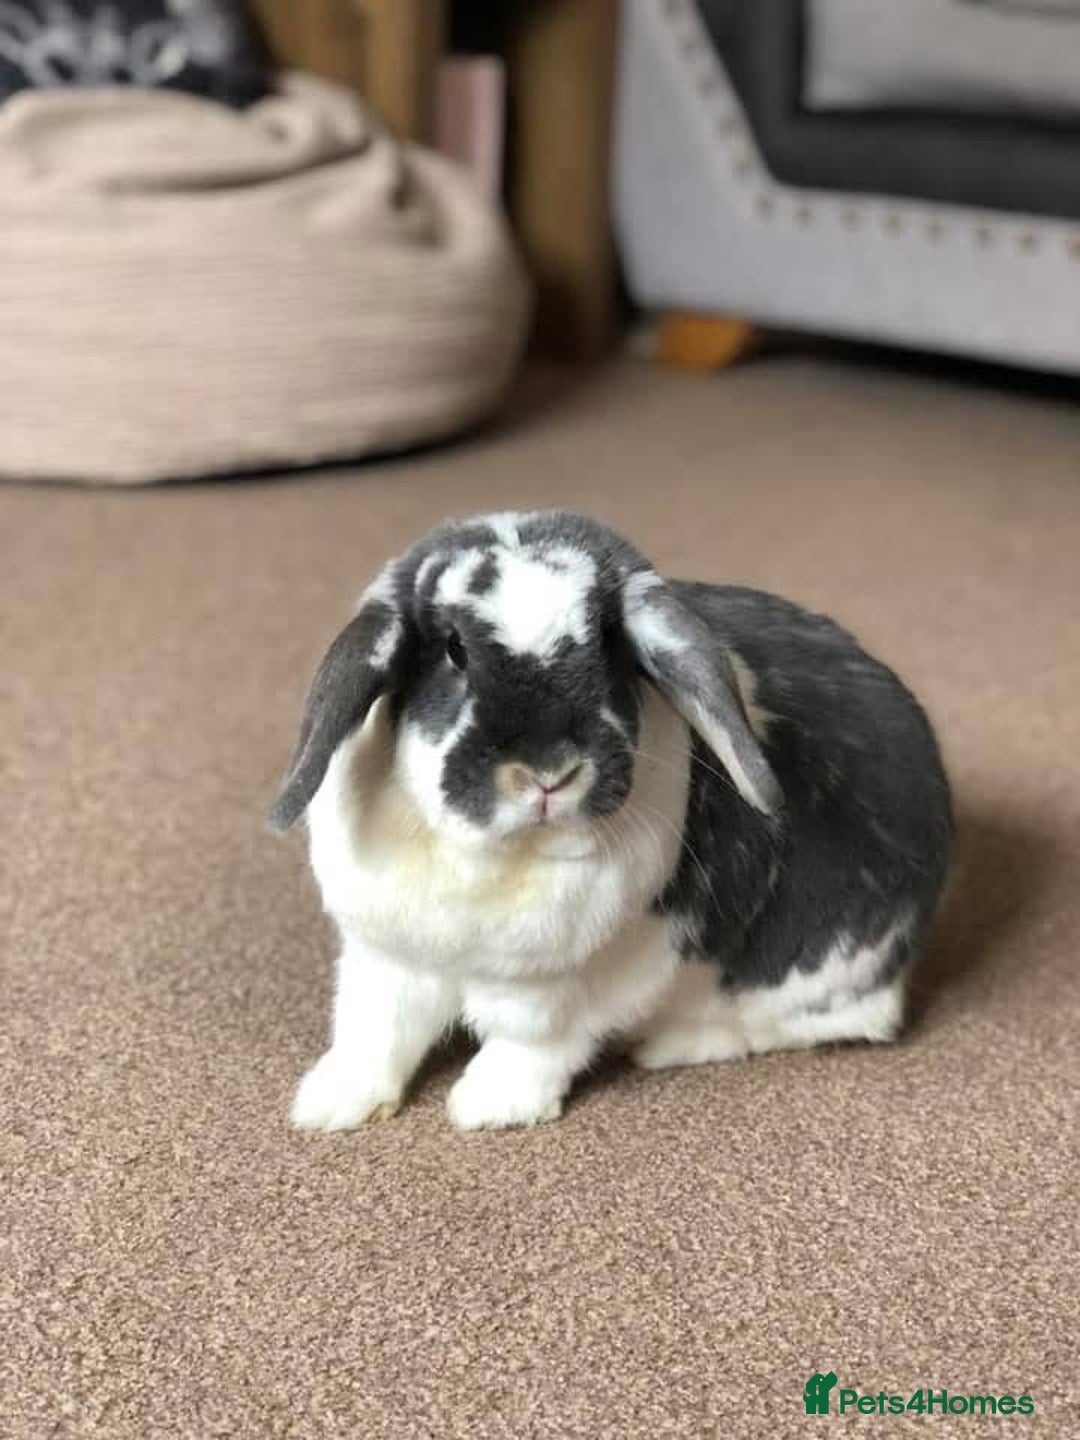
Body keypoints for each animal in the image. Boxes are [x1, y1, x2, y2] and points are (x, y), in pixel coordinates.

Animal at [270, 510, 952, 1131]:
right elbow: (374, 1032)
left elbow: (532, 1048)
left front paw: (489, 1109)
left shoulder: (565, 992)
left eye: (608, 644)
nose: (548, 772)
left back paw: (672, 1044)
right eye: (453, 650)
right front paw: (328, 1106)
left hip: (825, 983)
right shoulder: (387, 962)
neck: (494, 859)